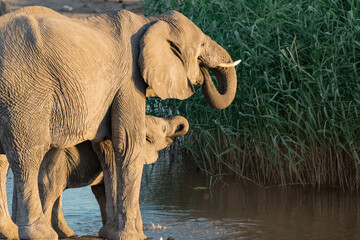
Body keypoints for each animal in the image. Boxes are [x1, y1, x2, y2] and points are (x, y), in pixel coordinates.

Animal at [0, 6, 239, 240]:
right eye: (201, 45)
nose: (202, 77)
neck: (150, 21)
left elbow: (109, 147)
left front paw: (110, 233)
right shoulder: (129, 79)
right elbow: (128, 143)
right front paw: (134, 236)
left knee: (3, 160)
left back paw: (10, 232)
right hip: (24, 91)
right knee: (27, 155)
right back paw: (39, 234)